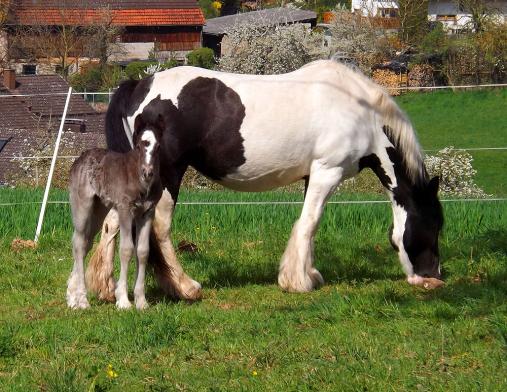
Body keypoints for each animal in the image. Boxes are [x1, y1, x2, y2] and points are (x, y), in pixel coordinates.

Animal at [67, 119, 163, 310]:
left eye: (158, 147)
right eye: (139, 146)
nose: (148, 172)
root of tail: (80, 159)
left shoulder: (147, 212)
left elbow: (143, 251)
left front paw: (141, 301)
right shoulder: (125, 209)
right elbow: (126, 249)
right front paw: (123, 300)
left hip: (98, 212)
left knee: (84, 243)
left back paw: (73, 298)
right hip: (82, 207)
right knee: (79, 243)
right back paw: (82, 299)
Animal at [87, 59, 444, 302]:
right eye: (435, 225)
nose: (433, 278)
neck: (359, 111)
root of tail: (140, 85)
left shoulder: (313, 175)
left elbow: (309, 223)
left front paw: (307, 274)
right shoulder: (328, 172)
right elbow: (310, 222)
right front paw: (298, 281)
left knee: (113, 222)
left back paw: (105, 288)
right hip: (167, 174)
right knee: (160, 226)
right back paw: (185, 287)